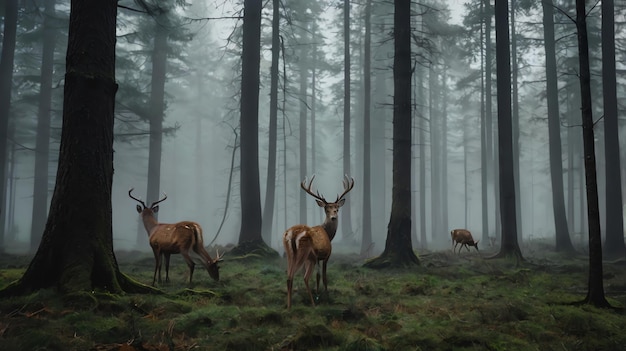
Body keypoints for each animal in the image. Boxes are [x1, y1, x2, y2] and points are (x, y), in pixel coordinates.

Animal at [282, 175, 352, 310]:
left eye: (337, 209)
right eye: (326, 209)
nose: (333, 217)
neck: (329, 234)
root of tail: (293, 234)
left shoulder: (317, 257)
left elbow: (318, 276)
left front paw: (318, 294)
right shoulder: (325, 255)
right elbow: (323, 277)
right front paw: (326, 297)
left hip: (290, 253)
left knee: (289, 276)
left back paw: (289, 305)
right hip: (304, 253)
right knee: (302, 277)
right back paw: (312, 304)